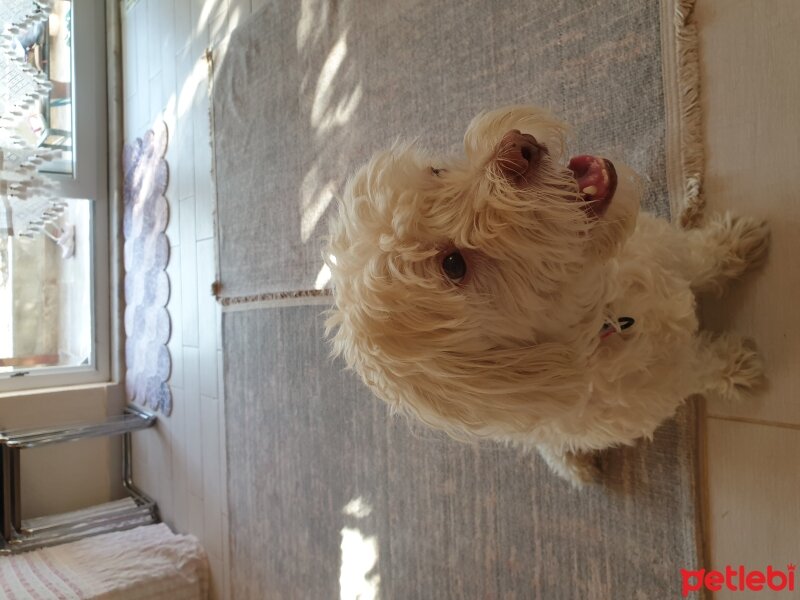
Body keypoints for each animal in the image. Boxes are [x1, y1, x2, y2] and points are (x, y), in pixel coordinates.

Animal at [324, 105, 768, 486]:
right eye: (453, 265)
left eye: (435, 171)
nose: (517, 149)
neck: (608, 312)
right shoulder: (669, 381)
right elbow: (700, 366)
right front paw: (735, 367)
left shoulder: (663, 249)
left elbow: (696, 256)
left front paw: (732, 245)